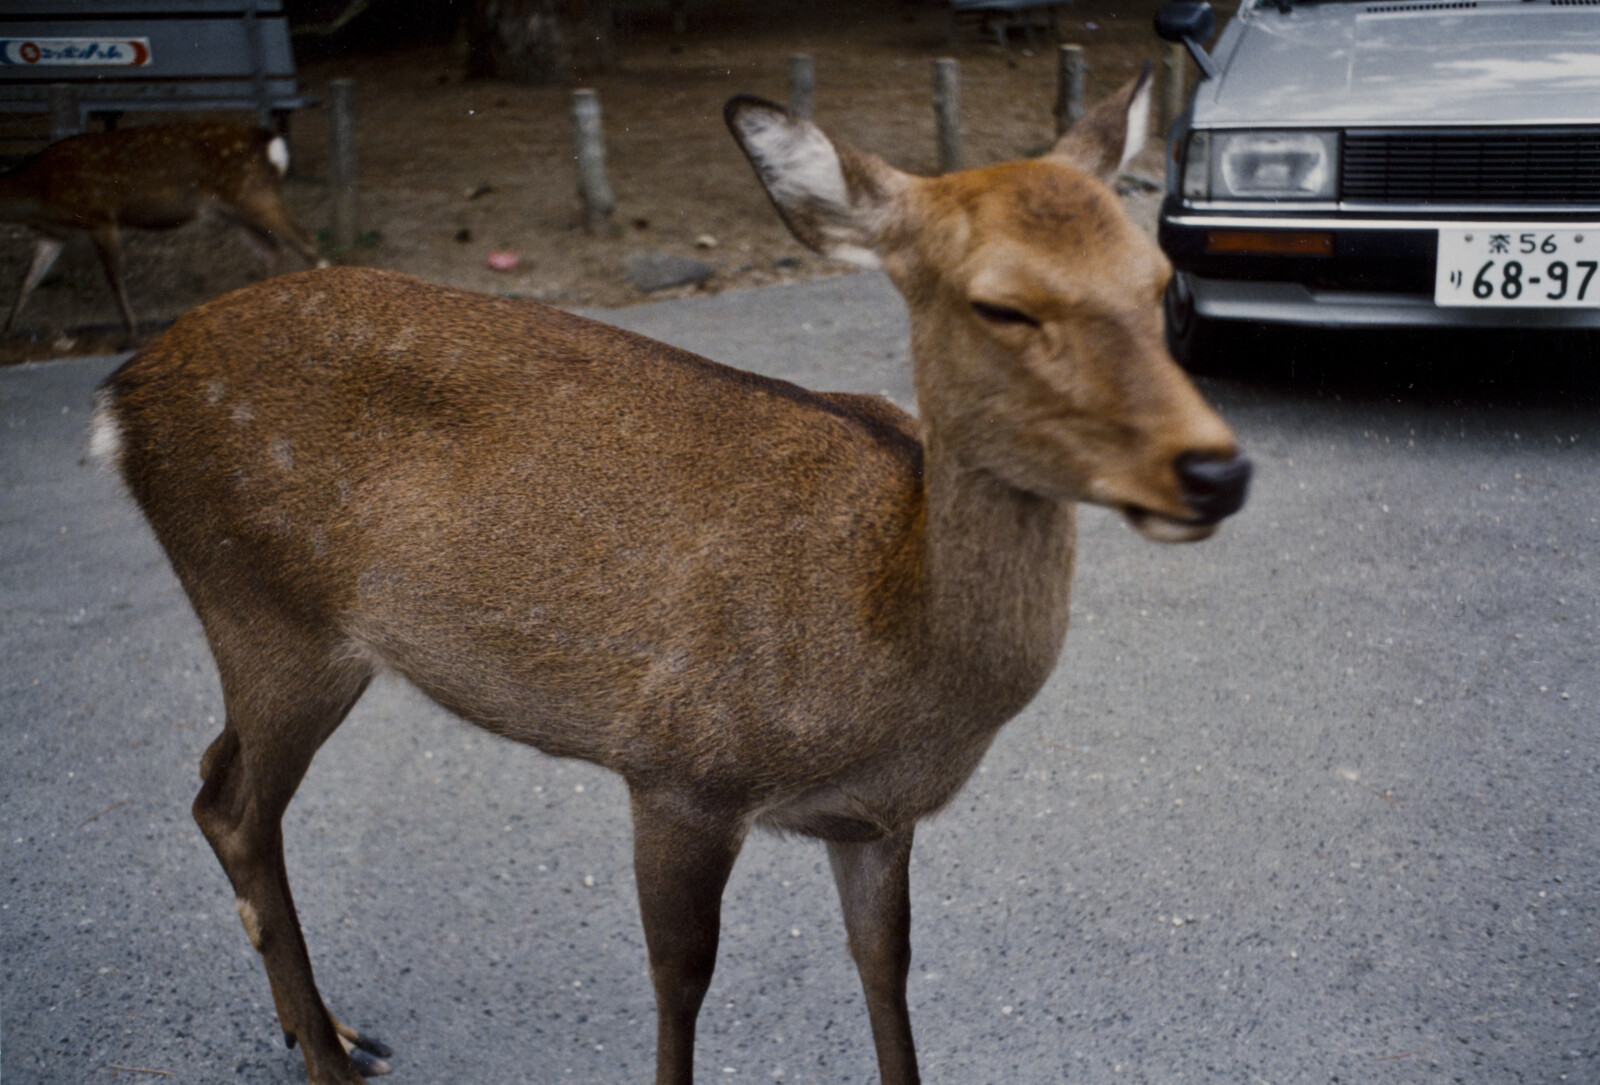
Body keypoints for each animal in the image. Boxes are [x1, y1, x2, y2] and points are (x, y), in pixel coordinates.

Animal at [0, 119, 328, 339]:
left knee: (306, 240)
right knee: (270, 248)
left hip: (253, 194)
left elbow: (114, 276)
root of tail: (271, 143)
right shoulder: (54, 232)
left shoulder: (100, 217)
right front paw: (8, 330)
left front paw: (131, 330)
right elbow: (29, 279)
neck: (41, 195)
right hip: (232, 209)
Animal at [93, 68, 1254, 1085]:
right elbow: (680, 980)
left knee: (214, 779)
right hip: (266, 604)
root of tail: (121, 396)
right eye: (1001, 305)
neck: (887, 644)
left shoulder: (874, 820)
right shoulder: (679, 763)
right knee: (236, 806)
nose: (1216, 469)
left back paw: (328, 1029)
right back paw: (331, 1055)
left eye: (1158, 282)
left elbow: (886, 970)